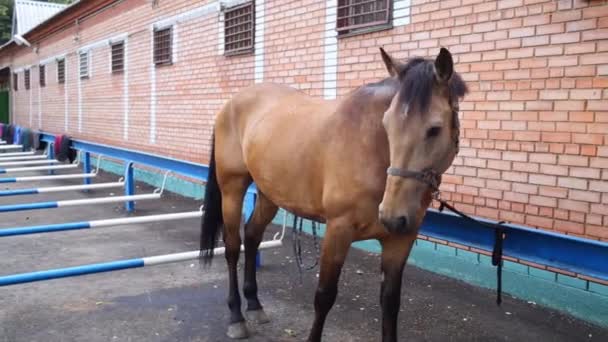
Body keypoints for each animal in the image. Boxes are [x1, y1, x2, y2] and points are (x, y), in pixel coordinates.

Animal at [202, 48, 468, 342]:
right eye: (387, 125)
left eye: (434, 129)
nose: (391, 215)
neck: (371, 150)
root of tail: (231, 104)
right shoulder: (338, 230)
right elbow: (324, 296)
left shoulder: (400, 240)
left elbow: (390, 302)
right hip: (232, 188)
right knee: (232, 246)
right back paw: (236, 316)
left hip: (269, 194)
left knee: (251, 235)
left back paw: (254, 304)